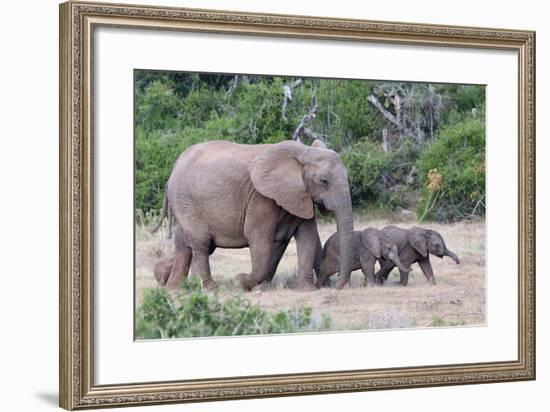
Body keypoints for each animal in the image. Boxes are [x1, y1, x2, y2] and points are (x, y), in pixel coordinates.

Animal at [151, 140, 356, 292]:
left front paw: (307, 290)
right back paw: (210, 288)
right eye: (324, 181)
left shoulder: (301, 195)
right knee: (201, 244)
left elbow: (307, 236)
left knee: (187, 244)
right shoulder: (260, 198)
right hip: (188, 202)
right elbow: (258, 238)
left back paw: (170, 284)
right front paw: (240, 281)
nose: (337, 285)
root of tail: (172, 172)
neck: (303, 152)